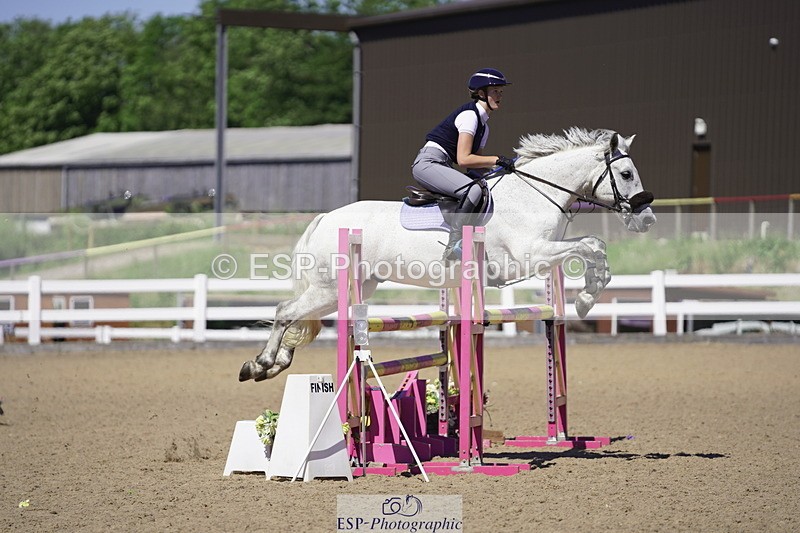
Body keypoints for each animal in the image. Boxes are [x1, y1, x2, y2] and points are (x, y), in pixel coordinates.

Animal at [239, 128, 656, 382]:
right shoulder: (529, 256)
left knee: (295, 315)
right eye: (626, 174)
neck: (534, 195)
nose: (647, 219)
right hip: (330, 287)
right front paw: (585, 300)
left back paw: (271, 365)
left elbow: (594, 246)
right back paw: (261, 364)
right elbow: (591, 245)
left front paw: (587, 297)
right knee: (285, 312)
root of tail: (326, 218)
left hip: (350, 288)